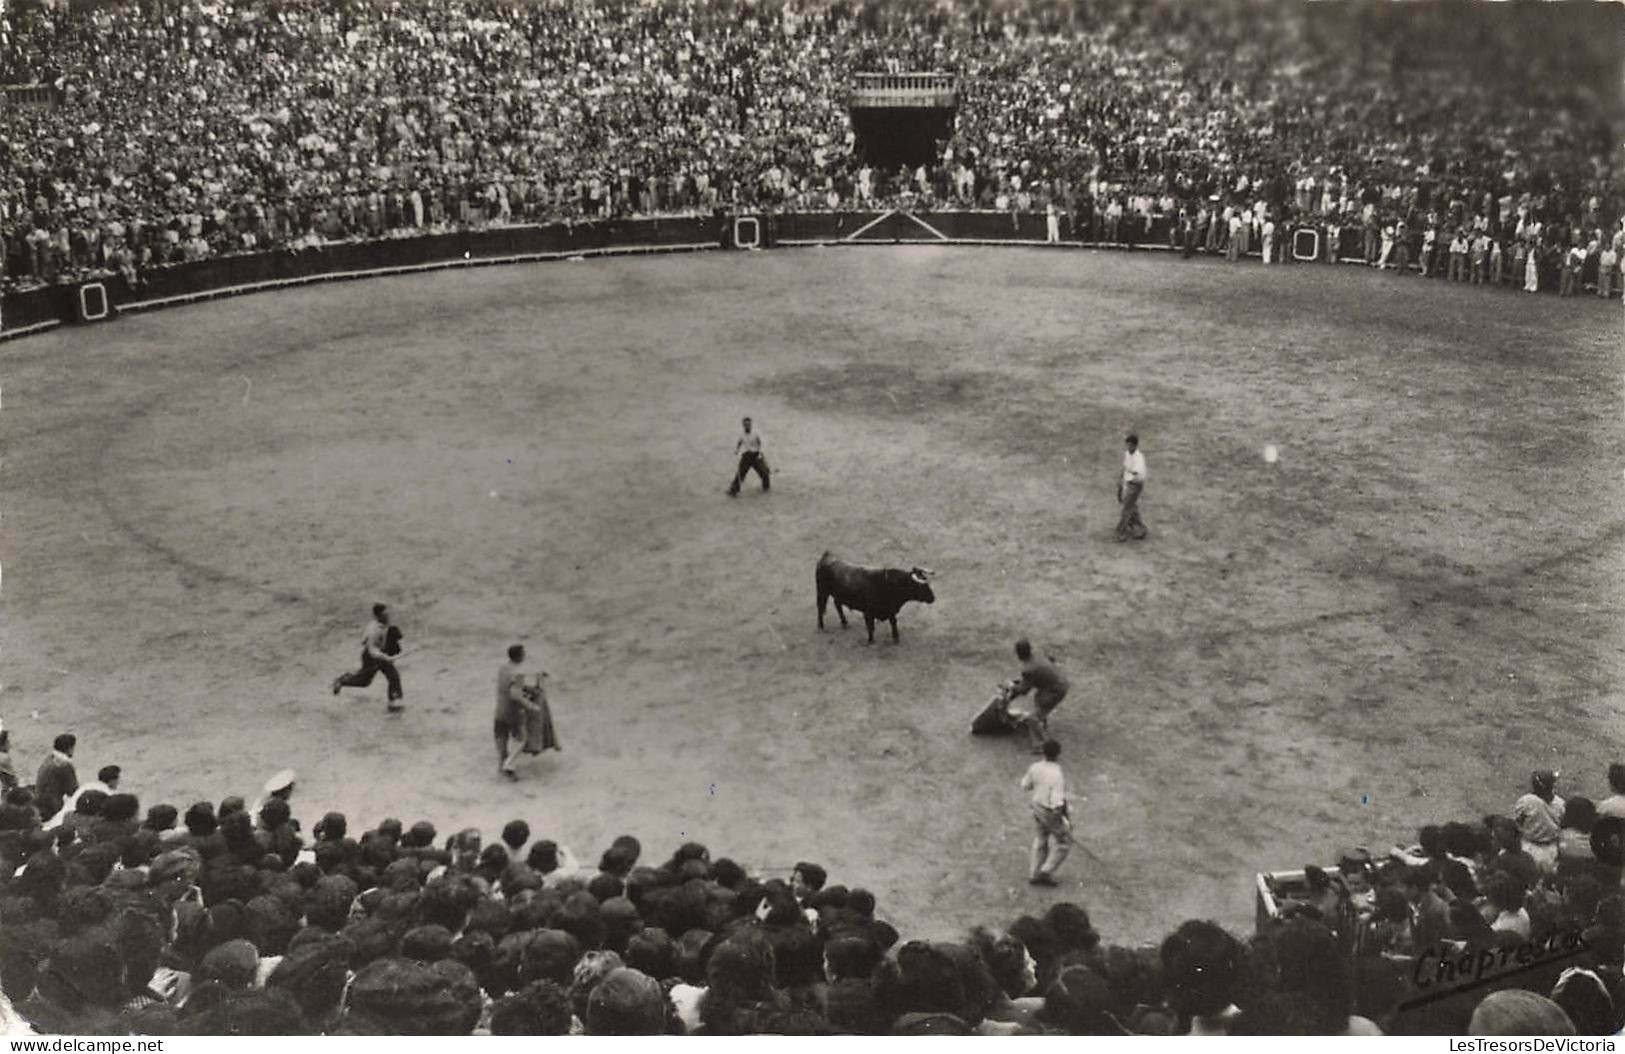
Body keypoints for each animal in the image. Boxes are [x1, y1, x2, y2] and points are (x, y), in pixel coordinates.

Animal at [812, 552, 942, 639]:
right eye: (923, 587)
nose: (933, 598)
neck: (889, 585)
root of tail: (826, 556)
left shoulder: (890, 610)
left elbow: (893, 622)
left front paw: (896, 638)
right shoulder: (868, 612)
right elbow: (871, 627)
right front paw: (871, 641)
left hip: (837, 595)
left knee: (837, 605)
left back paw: (845, 623)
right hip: (822, 591)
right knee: (820, 607)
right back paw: (821, 626)